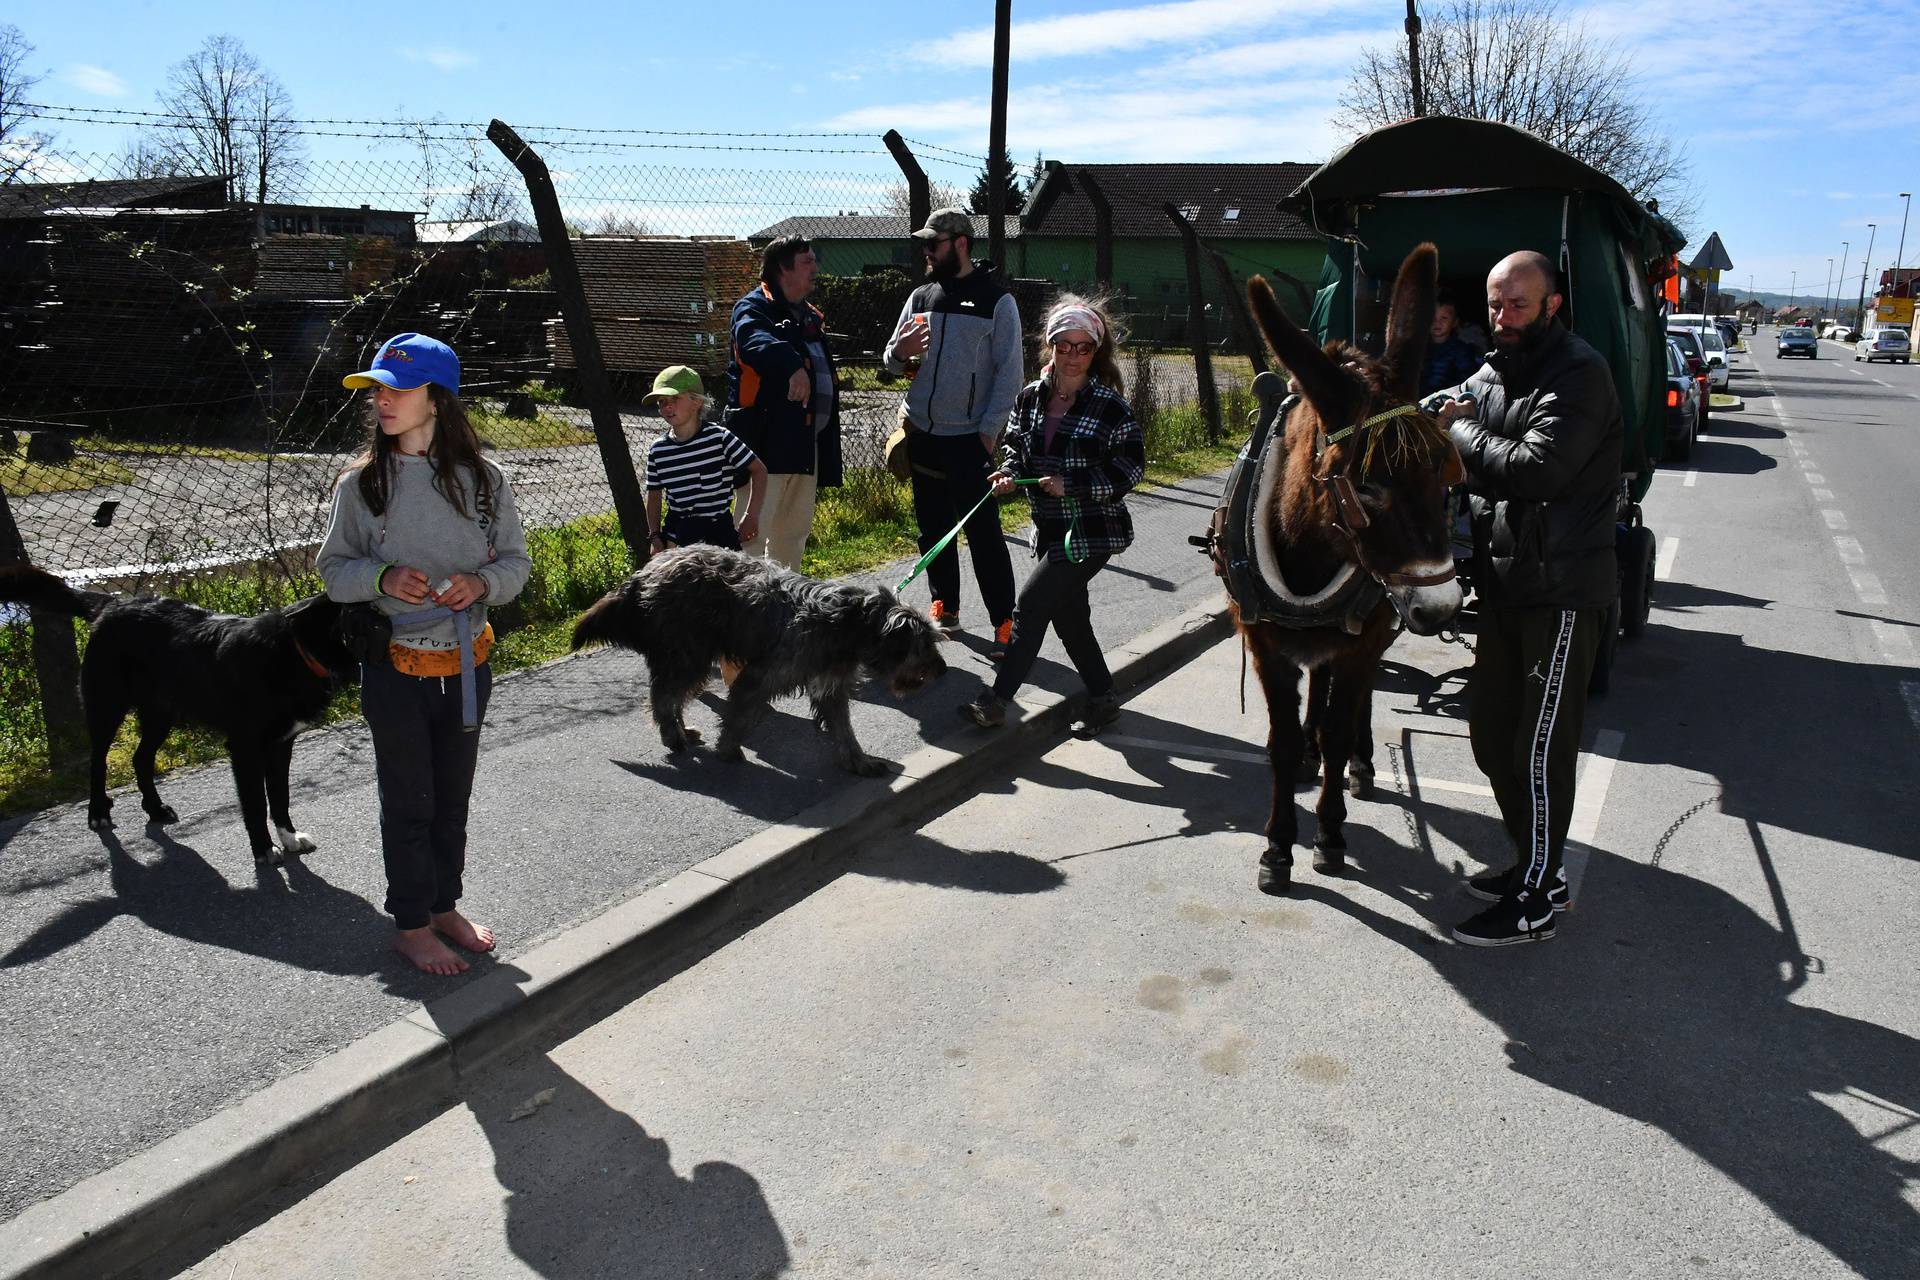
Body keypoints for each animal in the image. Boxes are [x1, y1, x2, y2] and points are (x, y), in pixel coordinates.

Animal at [0, 564, 357, 867]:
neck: (296, 651)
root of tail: (114, 605)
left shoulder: (281, 744)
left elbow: (280, 797)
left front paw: (289, 837)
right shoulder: (245, 748)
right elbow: (257, 804)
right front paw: (264, 849)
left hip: (161, 714)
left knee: (140, 759)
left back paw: (155, 809)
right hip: (107, 708)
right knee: (97, 760)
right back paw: (98, 812)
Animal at [576, 545, 952, 775]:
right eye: (925, 644)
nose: (942, 669)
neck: (848, 623)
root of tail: (647, 571)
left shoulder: (830, 685)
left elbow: (844, 728)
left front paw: (858, 761)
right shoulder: (758, 677)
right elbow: (738, 717)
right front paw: (727, 750)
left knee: (672, 695)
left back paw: (682, 731)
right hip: (687, 653)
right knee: (663, 695)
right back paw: (673, 737)